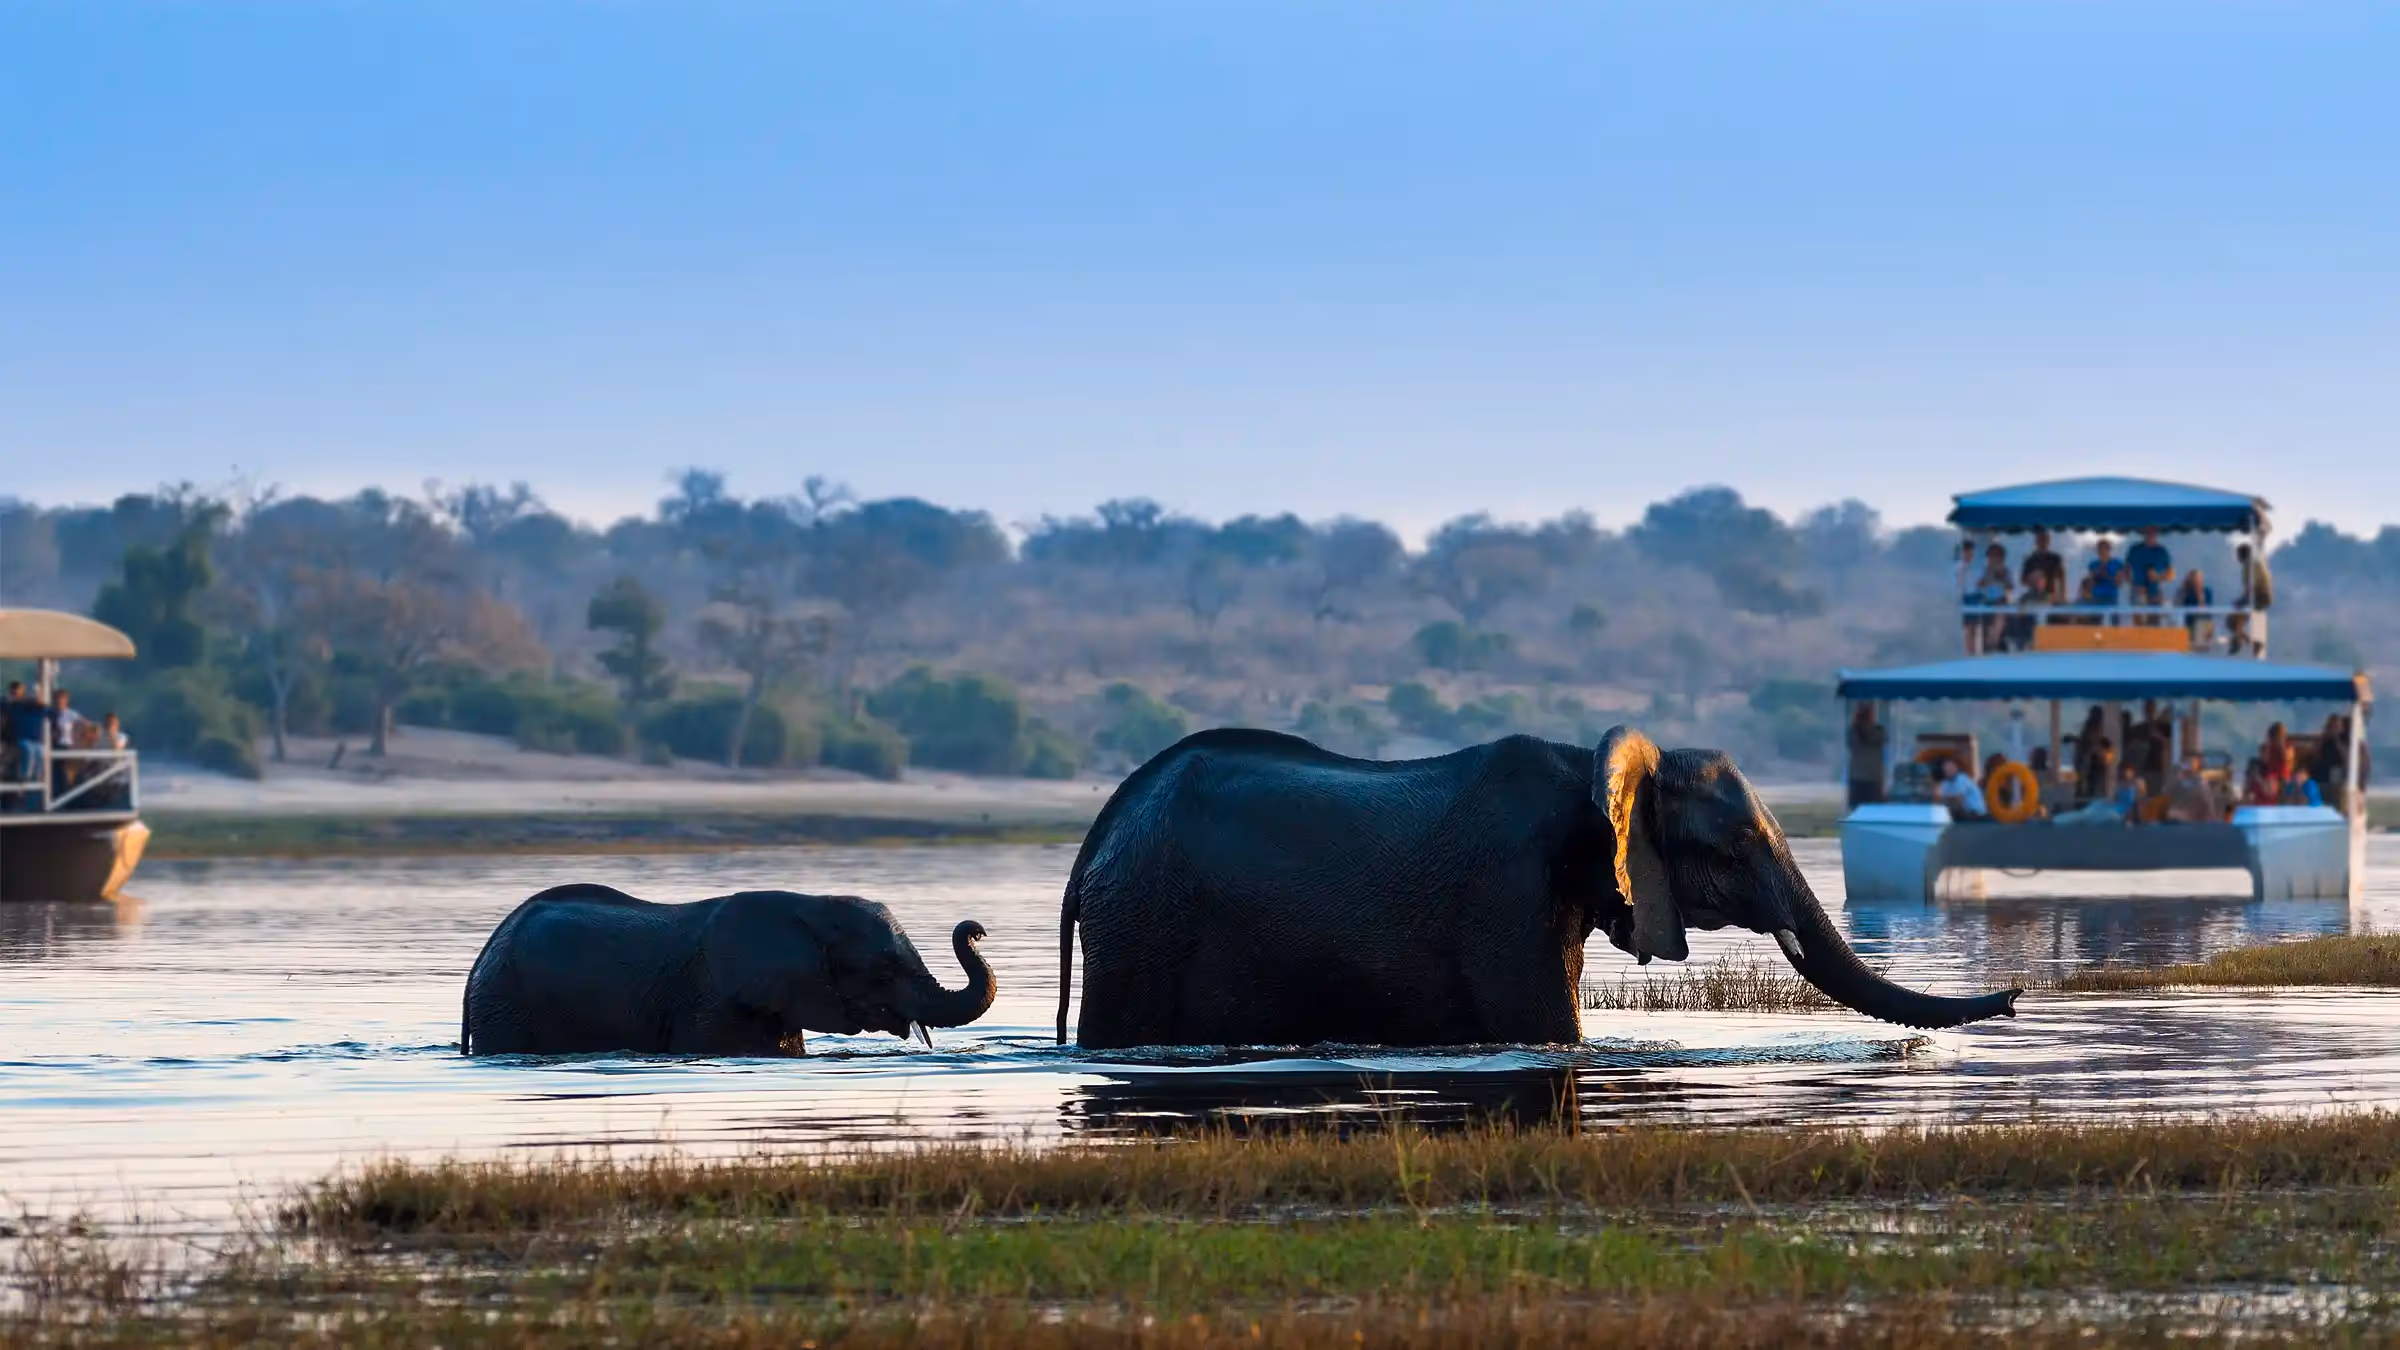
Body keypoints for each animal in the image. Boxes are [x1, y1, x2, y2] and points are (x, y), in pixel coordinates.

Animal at [1056, 726, 2019, 1050]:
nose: (2013, 997)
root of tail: (1101, 830)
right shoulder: (1505, 893)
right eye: (1739, 845)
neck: (1591, 768)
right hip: (1144, 923)